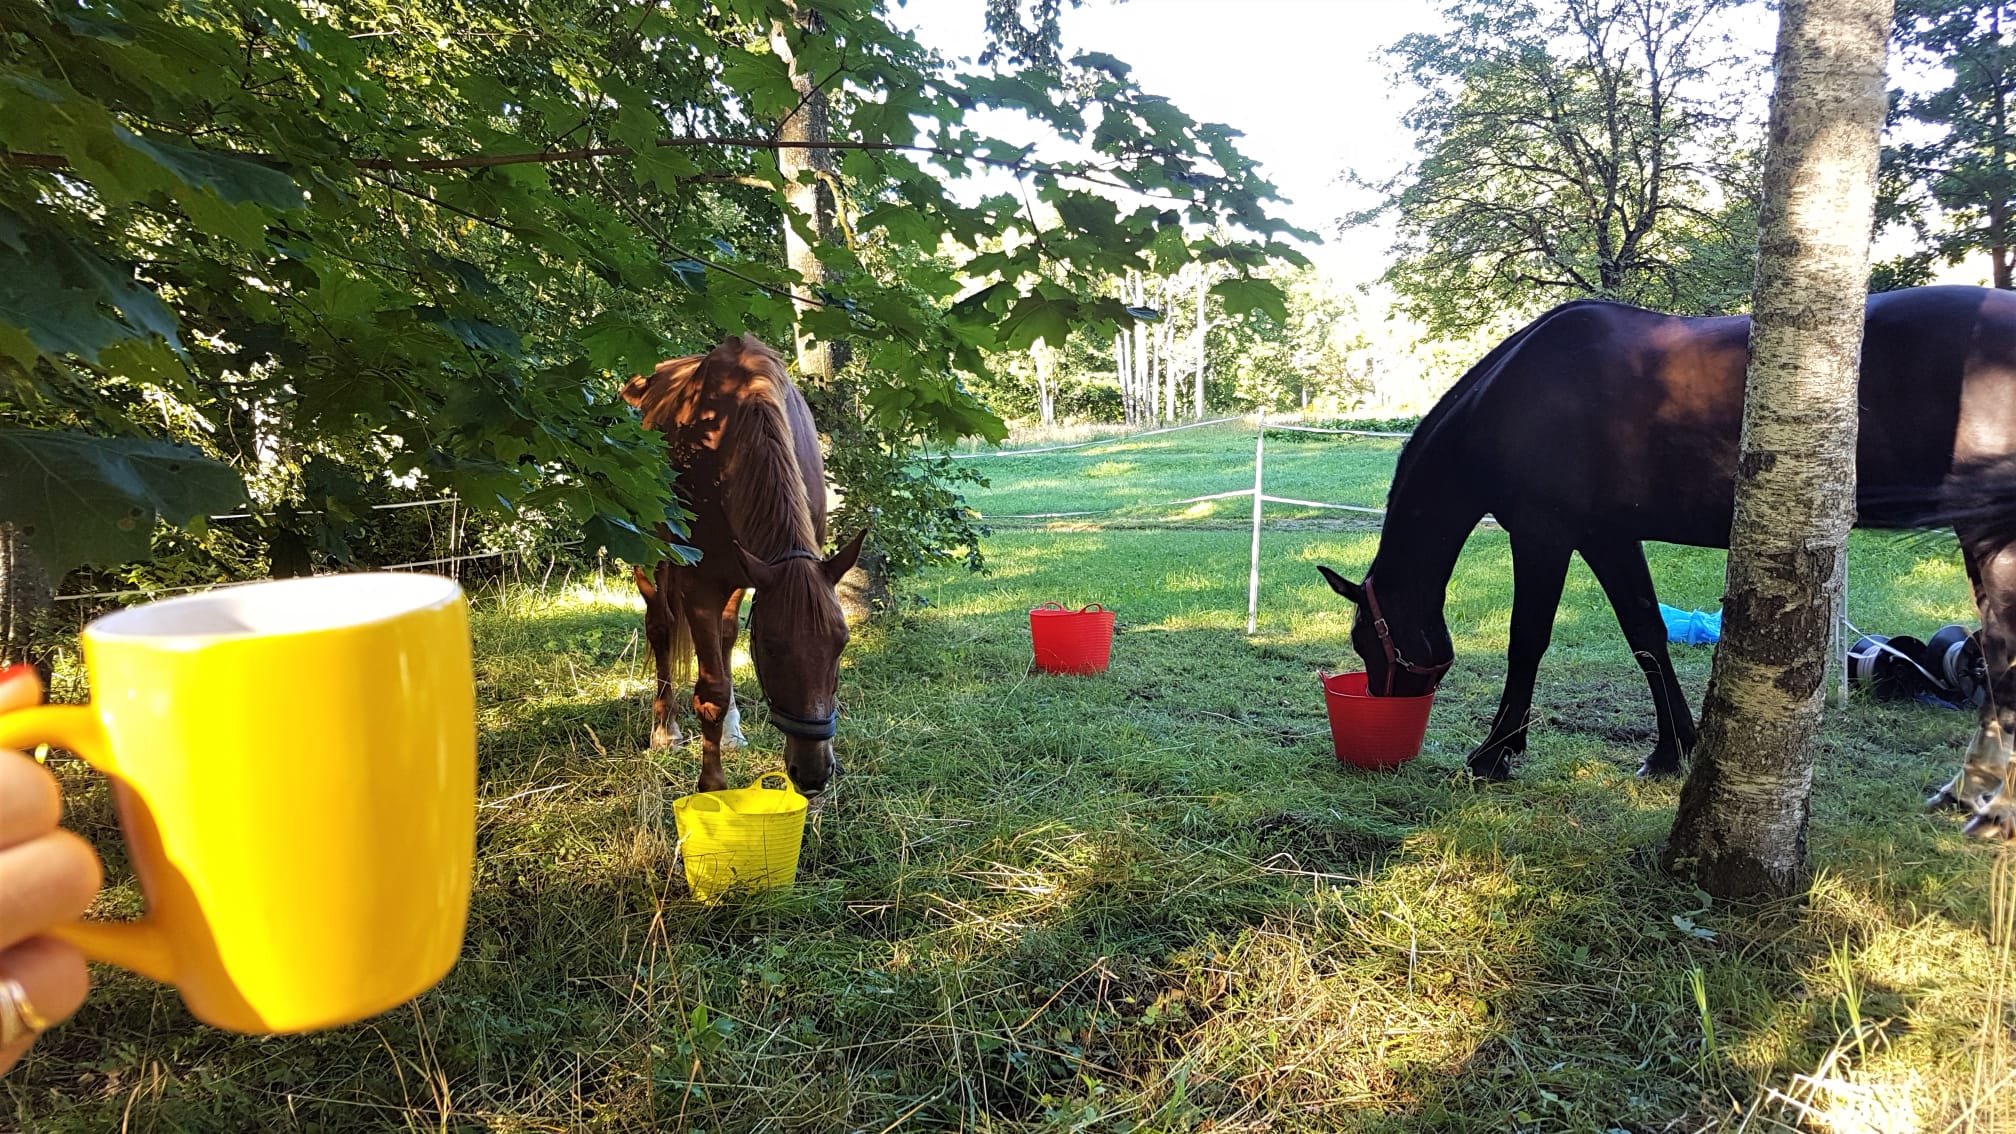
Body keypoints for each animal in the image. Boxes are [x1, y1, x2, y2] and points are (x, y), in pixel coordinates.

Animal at [620, 330, 858, 790]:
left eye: (842, 643)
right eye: (771, 647)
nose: (814, 773)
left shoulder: (752, 573)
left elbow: (726, 650)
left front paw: (728, 730)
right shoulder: (699, 585)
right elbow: (710, 690)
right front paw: (712, 786)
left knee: (725, 637)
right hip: (649, 554)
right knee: (660, 628)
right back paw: (665, 729)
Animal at [1314, 286, 2016, 835]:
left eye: (1365, 642)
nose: (1387, 707)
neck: (1515, 399)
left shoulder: (1545, 536)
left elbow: (1527, 641)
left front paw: (1496, 752)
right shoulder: (1607, 537)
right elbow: (1646, 633)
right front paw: (1672, 749)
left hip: (1989, 532)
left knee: (2001, 653)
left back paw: (1983, 804)